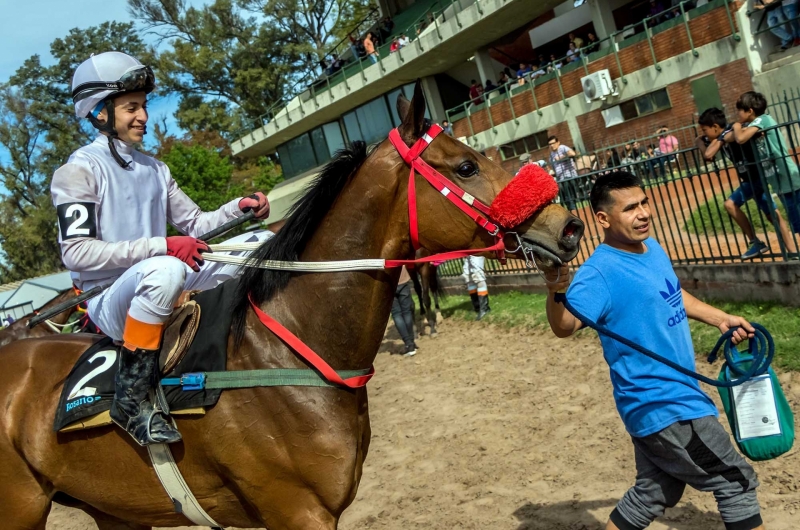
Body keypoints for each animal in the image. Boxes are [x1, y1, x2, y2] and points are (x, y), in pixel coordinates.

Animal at [0, 84, 580, 524]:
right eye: (465, 167)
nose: (569, 226)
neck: (285, 354)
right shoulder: (296, 511)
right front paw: (179, 245)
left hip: (114, 510)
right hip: (23, 506)